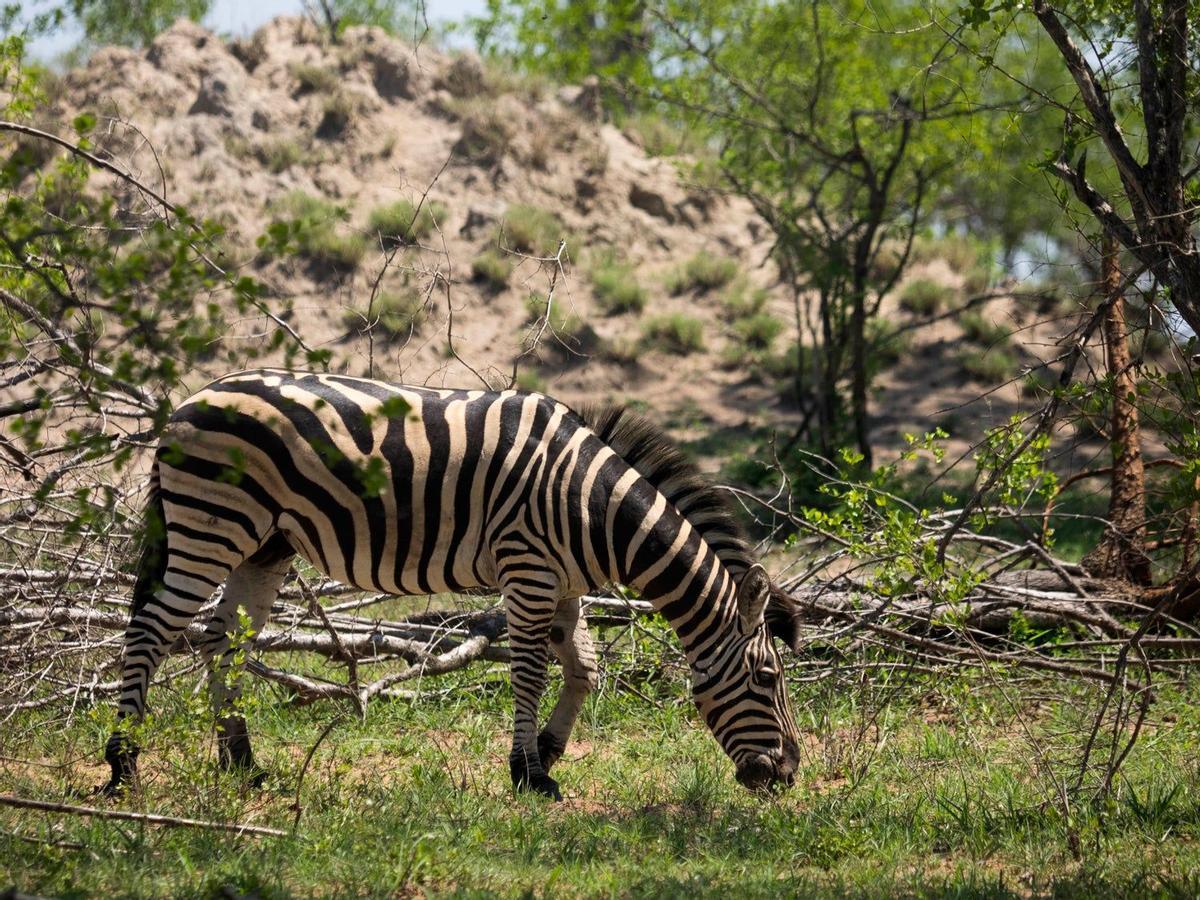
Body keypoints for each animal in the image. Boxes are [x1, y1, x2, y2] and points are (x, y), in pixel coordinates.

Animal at [100, 369, 796, 801]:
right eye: (767, 678)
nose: (788, 773)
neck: (591, 507)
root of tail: (189, 401)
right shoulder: (527, 569)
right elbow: (529, 672)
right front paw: (529, 774)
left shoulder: (563, 583)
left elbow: (584, 669)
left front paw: (547, 752)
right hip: (211, 523)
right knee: (153, 630)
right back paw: (123, 766)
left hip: (265, 544)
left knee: (222, 640)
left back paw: (242, 763)